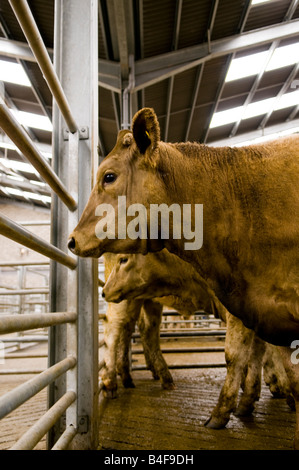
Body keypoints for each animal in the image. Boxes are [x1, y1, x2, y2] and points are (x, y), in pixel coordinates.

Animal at [69, 108, 299, 450]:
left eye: (109, 176)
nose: (72, 240)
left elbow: (258, 355)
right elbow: (246, 356)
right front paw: (230, 409)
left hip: (142, 299)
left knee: (137, 332)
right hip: (126, 298)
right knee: (116, 331)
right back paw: (115, 381)